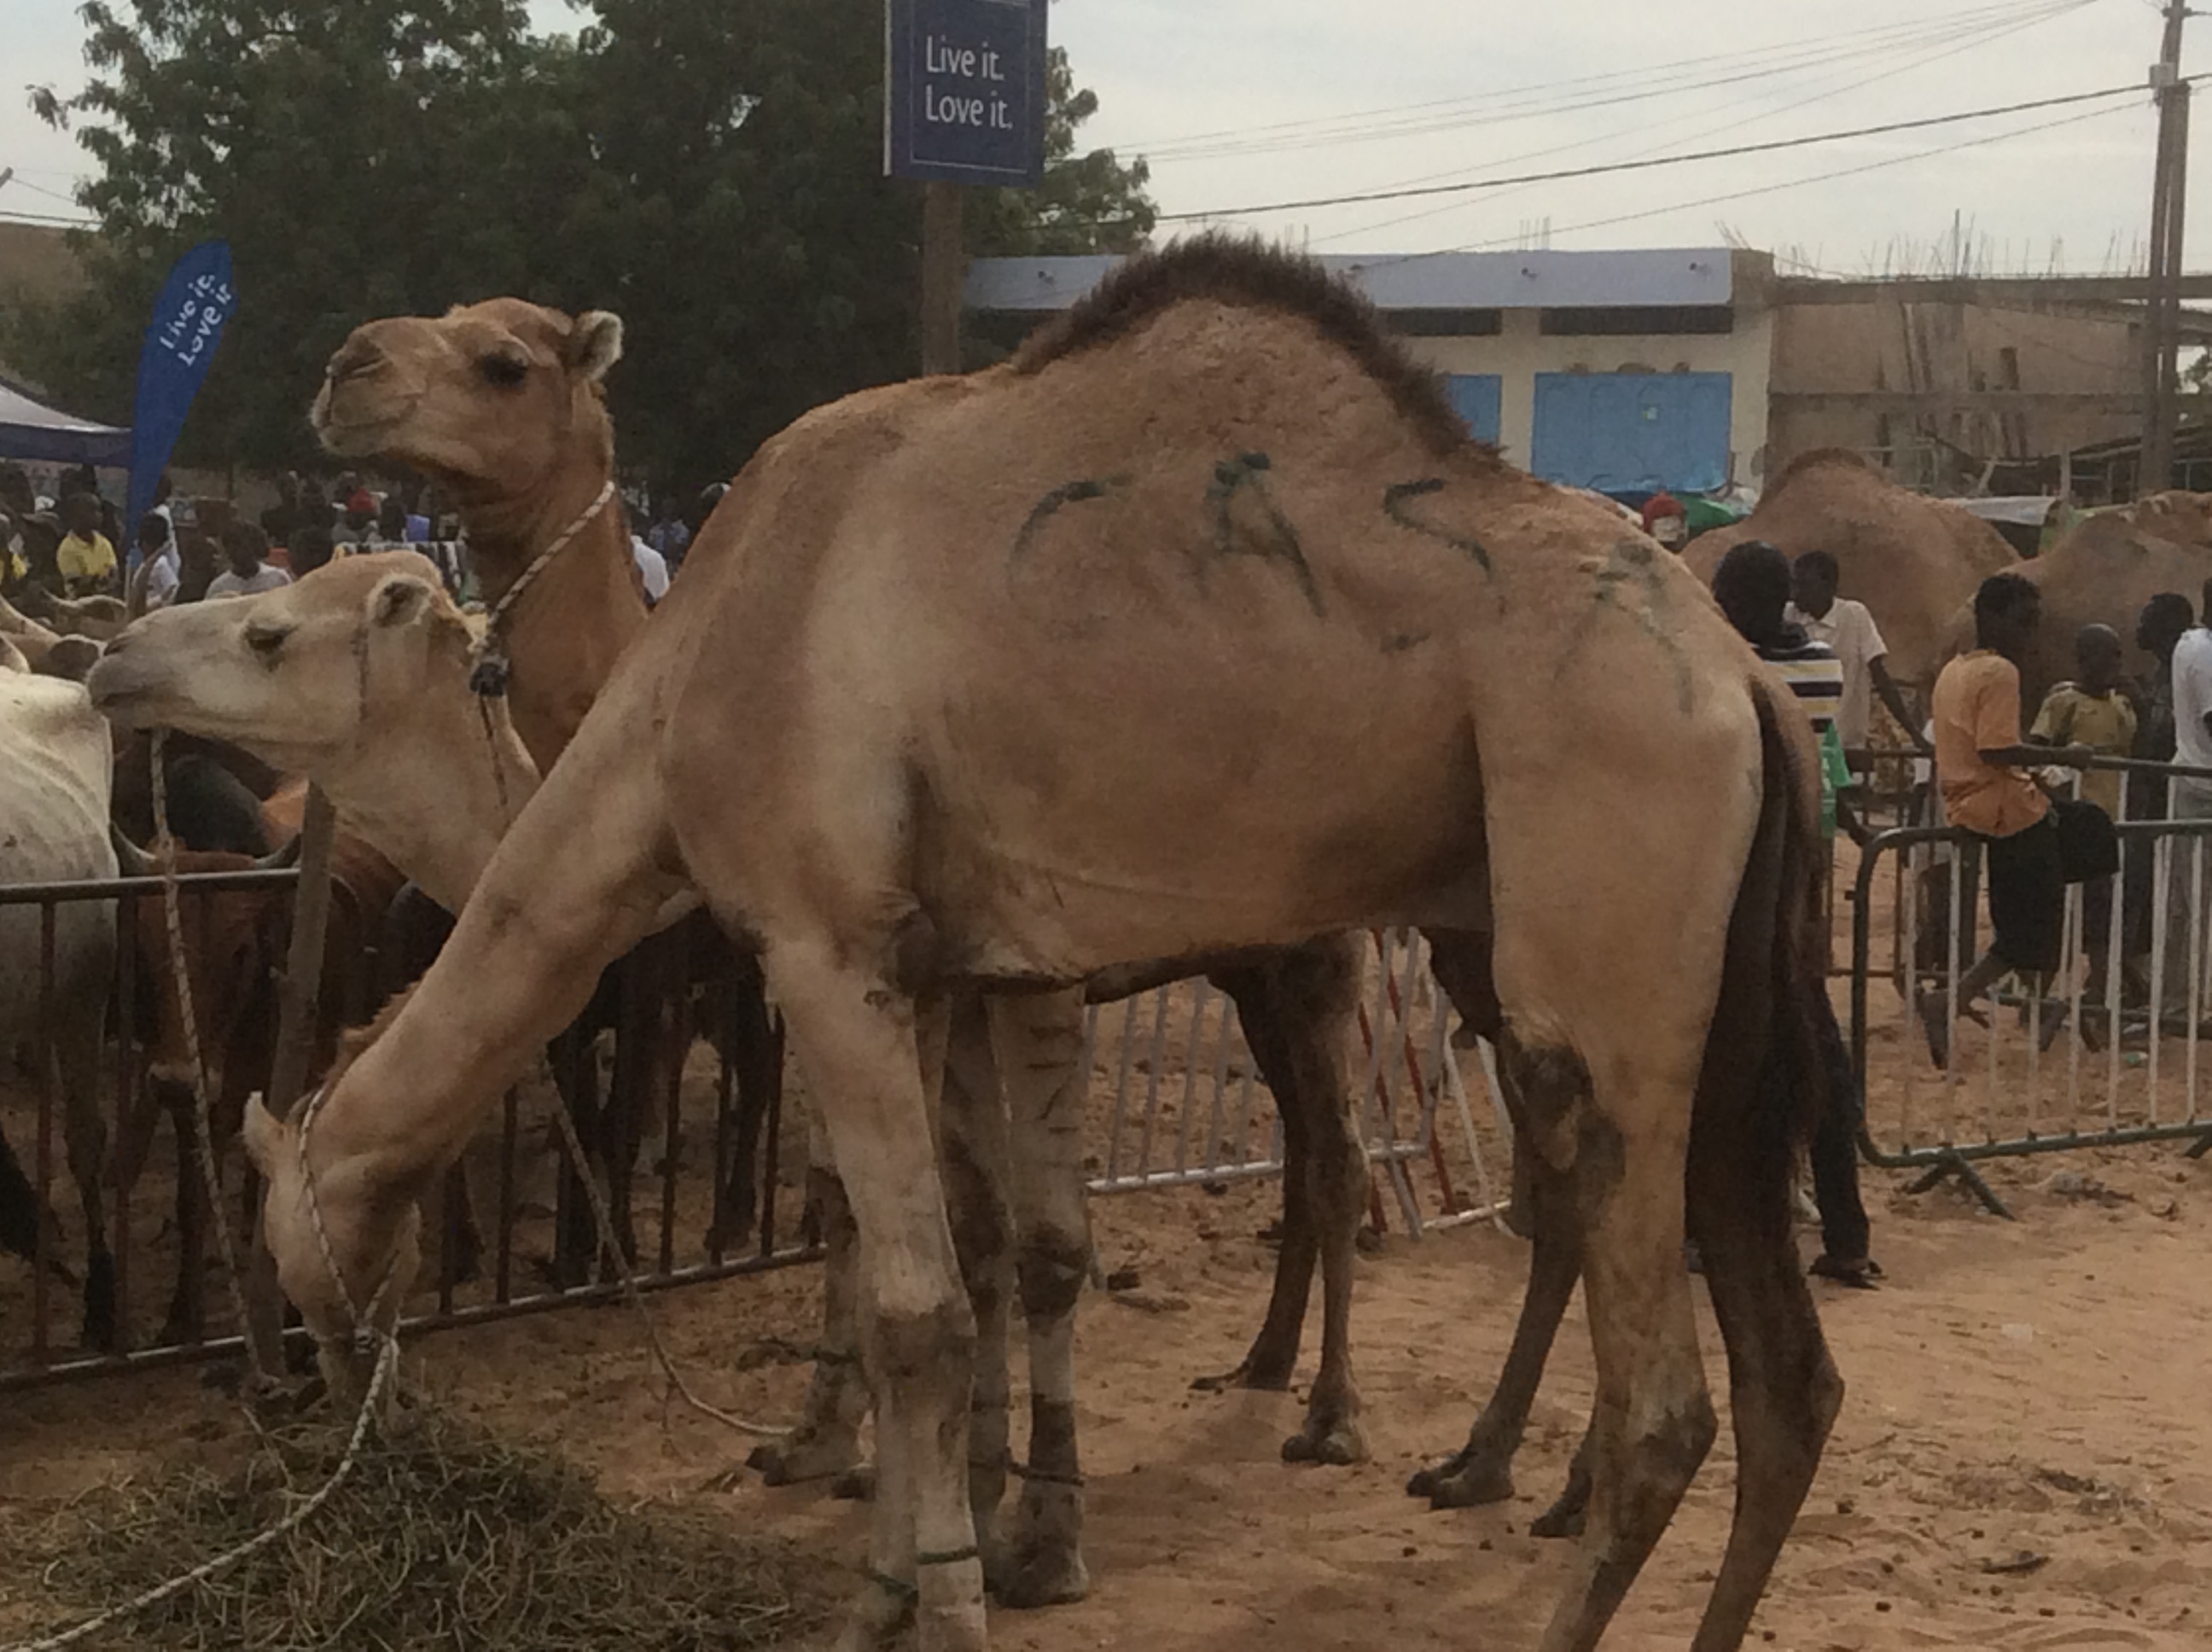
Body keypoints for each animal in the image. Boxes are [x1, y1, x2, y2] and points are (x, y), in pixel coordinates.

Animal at [242, 241, 1840, 1652]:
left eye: (504, 361)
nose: (305, 1390)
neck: (679, 676)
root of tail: (1742, 682)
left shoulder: (823, 945)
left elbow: (922, 1308)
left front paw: (942, 1598)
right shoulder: (943, 962)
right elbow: (956, 1259)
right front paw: (909, 1571)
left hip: (1592, 924)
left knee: (1662, 1395)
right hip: (1685, 993)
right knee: (1787, 1382)